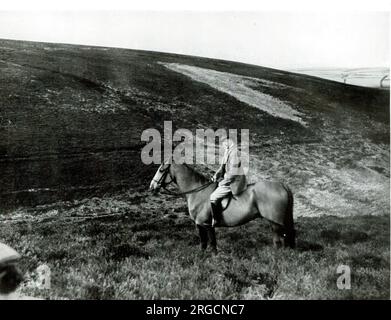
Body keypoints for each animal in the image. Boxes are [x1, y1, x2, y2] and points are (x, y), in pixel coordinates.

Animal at [149, 162, 296, 252]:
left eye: (161, 170)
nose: (152, 187)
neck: (197, 192)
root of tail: (282, 185)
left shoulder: (203, 224)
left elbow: (208, 243)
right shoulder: (205, 225)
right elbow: (207, 243)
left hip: (276, 223)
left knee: (280, 241)